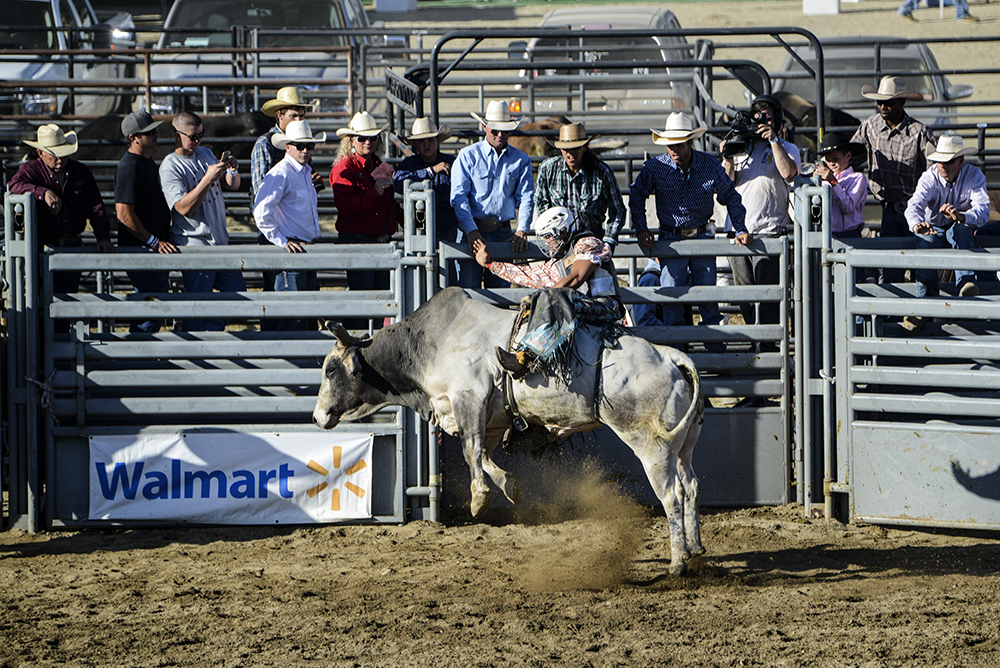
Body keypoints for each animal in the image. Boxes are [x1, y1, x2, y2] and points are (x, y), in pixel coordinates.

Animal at [312, 288, 704, 576]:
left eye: (331, 369)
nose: (317, 417)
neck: (428, 344)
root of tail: (670, 357)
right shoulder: (492, 418)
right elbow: (482, 453)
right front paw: (508, 485)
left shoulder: (468, 397)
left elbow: (470, 451)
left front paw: (479, 498)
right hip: (684, 445)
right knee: (690, 486)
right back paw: (696, 548)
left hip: (651, 446)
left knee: (671, 495)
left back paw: (677, 562)